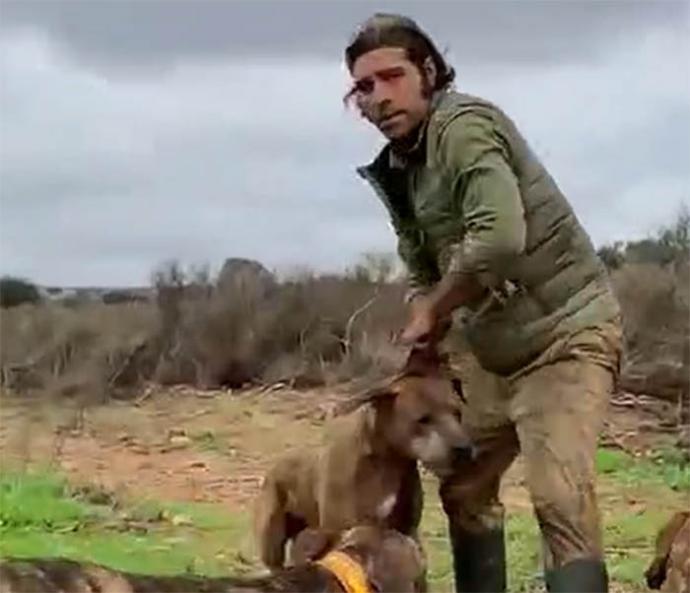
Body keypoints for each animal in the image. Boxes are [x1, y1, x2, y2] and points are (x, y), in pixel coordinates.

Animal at [253, 346, 472, 568]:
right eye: (423, 419)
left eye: (457, 413)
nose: (464, 448)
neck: (388, 461)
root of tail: (273, 468)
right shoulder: (346, 530)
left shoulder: (404, 533)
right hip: (274, 539)